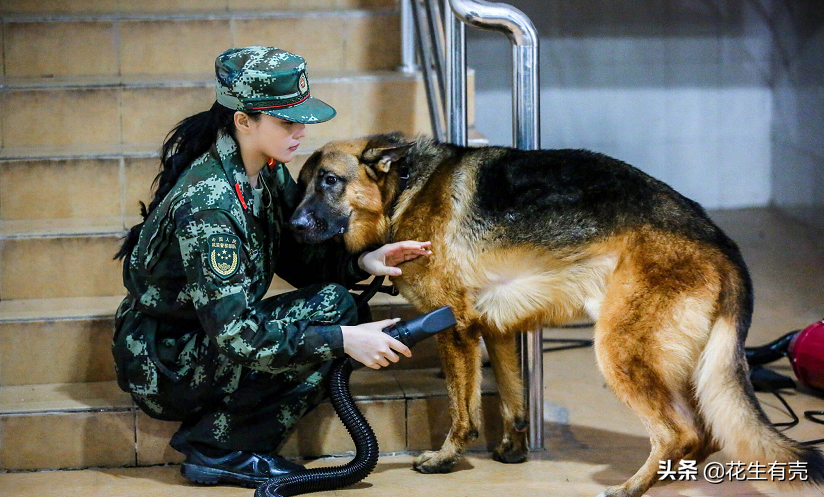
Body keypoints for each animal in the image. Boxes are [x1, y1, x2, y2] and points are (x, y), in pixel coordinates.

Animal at [288, 133, 816, 496]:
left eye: (330, 181)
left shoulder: (455, 331)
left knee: (679, 432)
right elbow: (512, 401)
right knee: (701, 435)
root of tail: (721, 241)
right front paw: (512, 451)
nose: (291, 225)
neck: (402, 189)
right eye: (300, 187)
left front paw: (445, 459)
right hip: (679, 364)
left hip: (619, 351)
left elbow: (463, 410)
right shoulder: (495, 331)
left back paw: (631, 488)